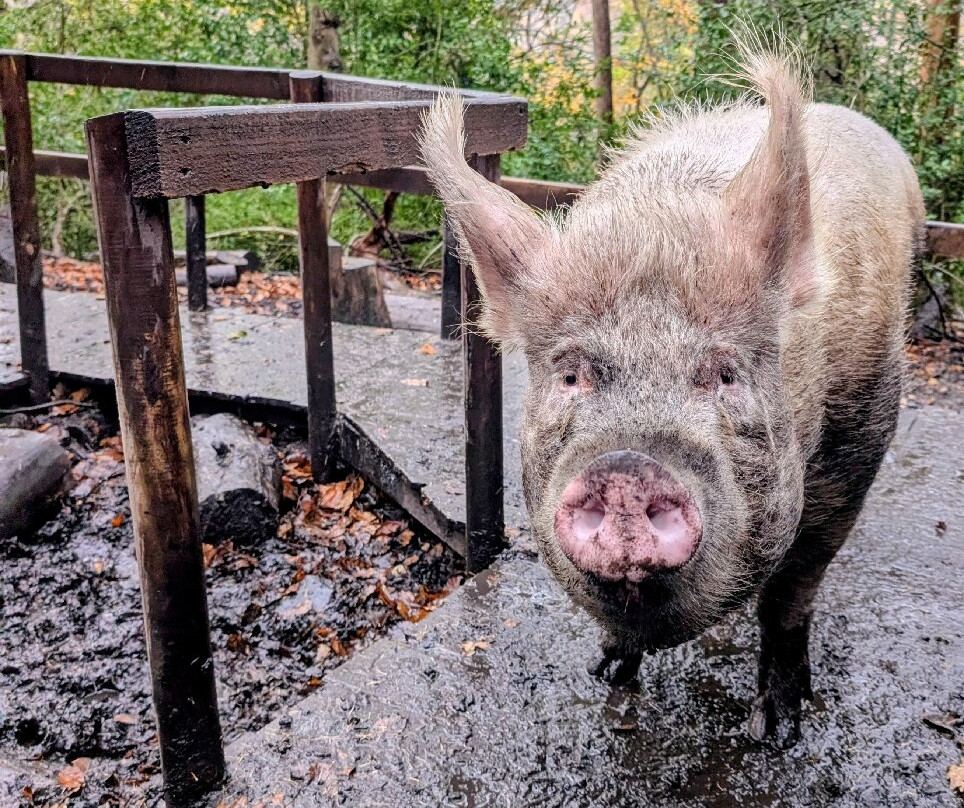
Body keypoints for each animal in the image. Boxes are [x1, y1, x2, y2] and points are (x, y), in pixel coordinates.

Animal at [419, 43, 925, 747]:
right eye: (571, 376)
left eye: (726, 374)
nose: (627, 470)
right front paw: (605, 673)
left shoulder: (861, 437)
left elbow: (793, 587)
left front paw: (777, 731)